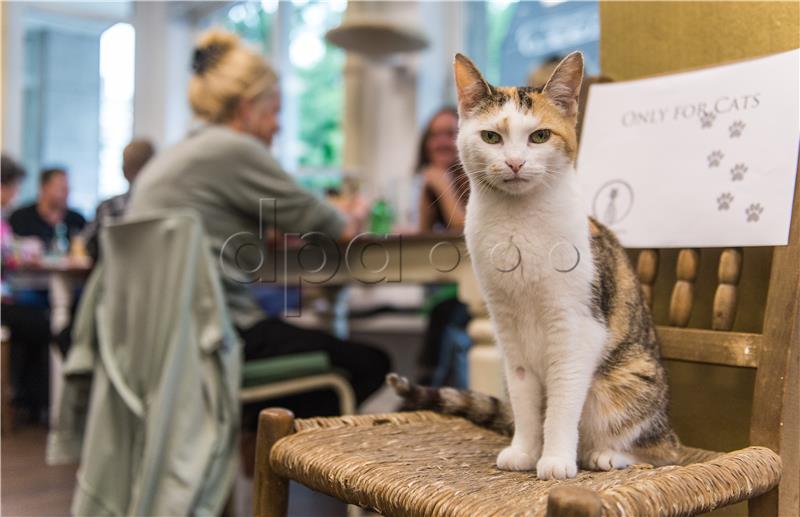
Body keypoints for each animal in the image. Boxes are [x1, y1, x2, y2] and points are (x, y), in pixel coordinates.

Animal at [390, 52, 680, 480]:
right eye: (491, 137)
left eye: (539, 136)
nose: (514, 162)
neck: (517, 224)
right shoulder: (508, 330)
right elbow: (527, 402)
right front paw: (526, 450)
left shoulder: (575, 328)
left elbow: (561, 401)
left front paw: (556, 459)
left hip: (628, 383)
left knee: (662, 451)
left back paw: (606, 455)